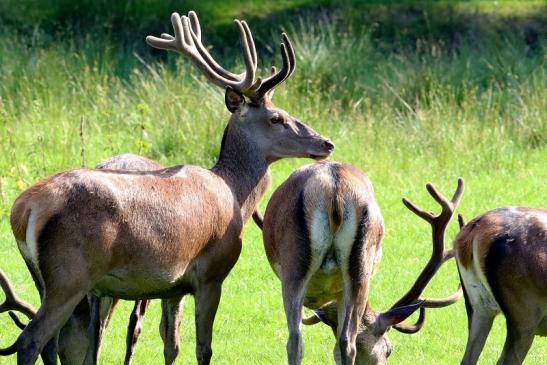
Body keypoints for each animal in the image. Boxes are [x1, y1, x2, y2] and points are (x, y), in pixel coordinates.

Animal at [0, 9, 334, 362]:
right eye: (277, 118)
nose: (326, 143)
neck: (234, 194)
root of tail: (24, 210)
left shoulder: (173, 286)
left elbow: (171, 343)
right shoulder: (211, 272)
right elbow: (203, 348)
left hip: (45, 279)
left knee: (51, 341)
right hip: (70, 275)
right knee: (31, 339)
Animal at [262, 163, 462, 364]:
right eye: (390, 350)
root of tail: (335, 188)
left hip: (305, 267)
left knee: (309, 339)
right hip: (350, 267)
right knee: (335, 341)